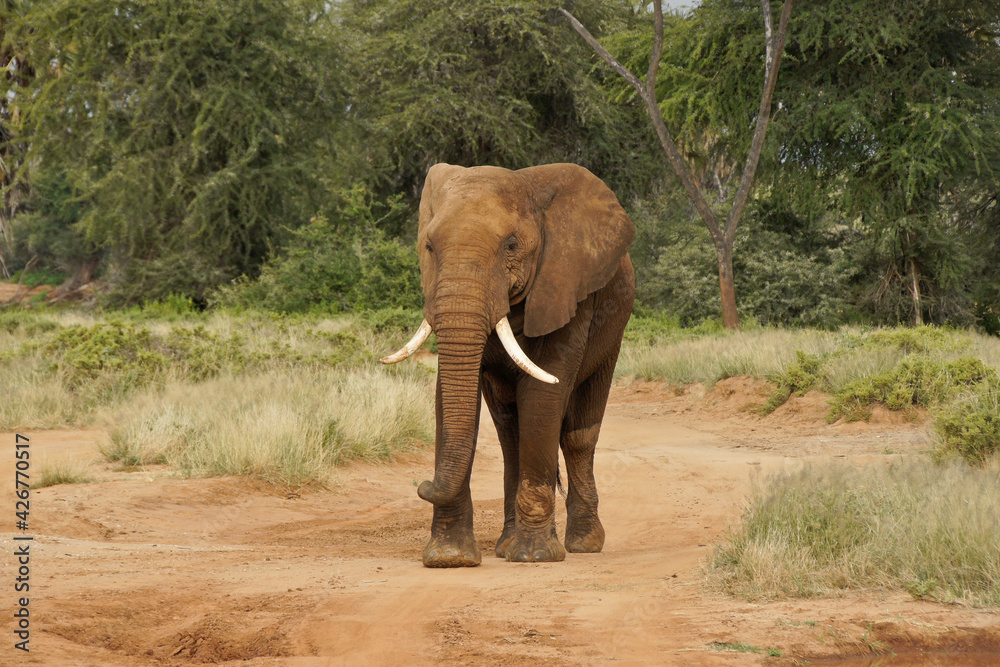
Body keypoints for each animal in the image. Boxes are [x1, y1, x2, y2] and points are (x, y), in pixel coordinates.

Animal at [382, 163, 632, 568]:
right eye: (429, 247)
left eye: (512, 245)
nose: (422, 484)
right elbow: (447, 396)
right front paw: (449, 559)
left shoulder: (567, 285)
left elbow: (543, 394)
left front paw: (535, 557)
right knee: (510, 432)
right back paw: (505, 545)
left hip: (614, 331)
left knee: (578, 434)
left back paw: (582, 544)